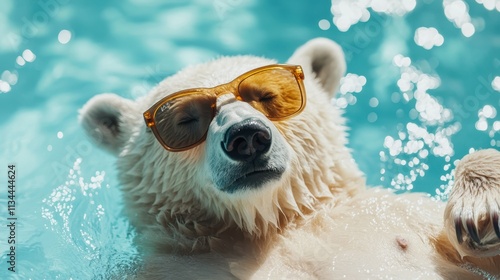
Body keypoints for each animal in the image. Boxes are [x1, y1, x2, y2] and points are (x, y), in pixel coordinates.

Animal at [80, 38, 498, 278]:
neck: (273, 223)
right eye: (185, 119)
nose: (246, 138)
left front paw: (479, 210)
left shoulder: (403, 218)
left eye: (268, 95)